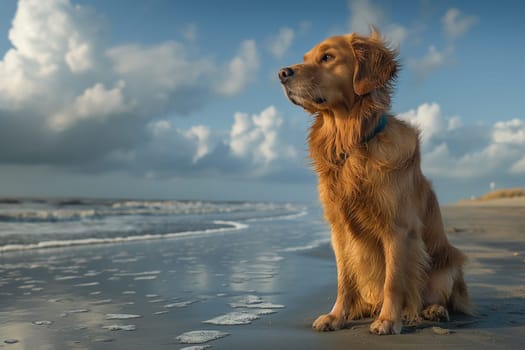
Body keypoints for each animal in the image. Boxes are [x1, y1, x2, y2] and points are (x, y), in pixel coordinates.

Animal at [278, 29, 470, 334]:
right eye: (306, 58)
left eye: (328, 57)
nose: (282, 73)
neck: (350, 142)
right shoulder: (339, 230)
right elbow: (344, 281)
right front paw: (336, 316)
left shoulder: (398, 228)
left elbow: (393, 281)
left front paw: (389, 320)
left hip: (449, 264)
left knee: (442, 296)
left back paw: (434, 310)